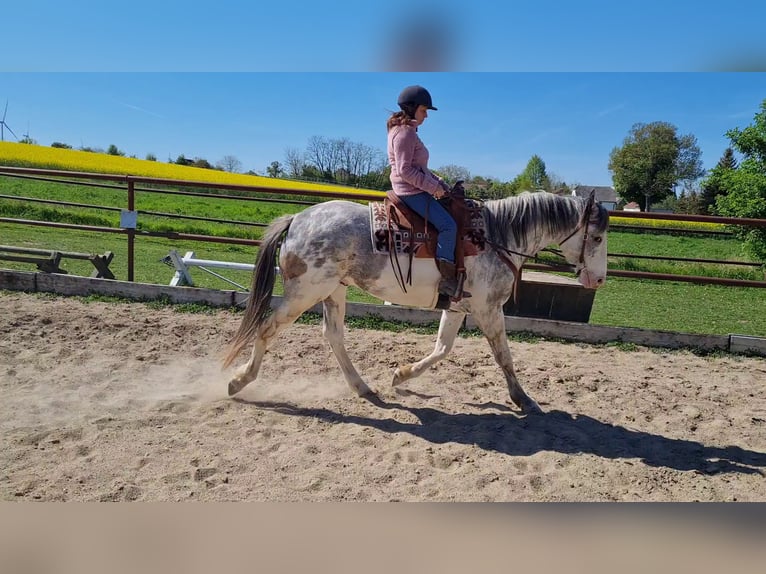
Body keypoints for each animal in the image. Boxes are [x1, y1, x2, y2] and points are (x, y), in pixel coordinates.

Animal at [223, 190, 609, 414]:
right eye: (597, 237)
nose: (599, 280)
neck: (496, 237)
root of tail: (297, 219)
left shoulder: (458, 307)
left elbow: (442, 349)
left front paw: (401, 375)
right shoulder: (488, 309)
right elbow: (504, 356)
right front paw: (523, 399)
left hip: (334, 291)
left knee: (333, 337)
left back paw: (363, 388)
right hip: (305, 292)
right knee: (267, 329)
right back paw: (238, 381)